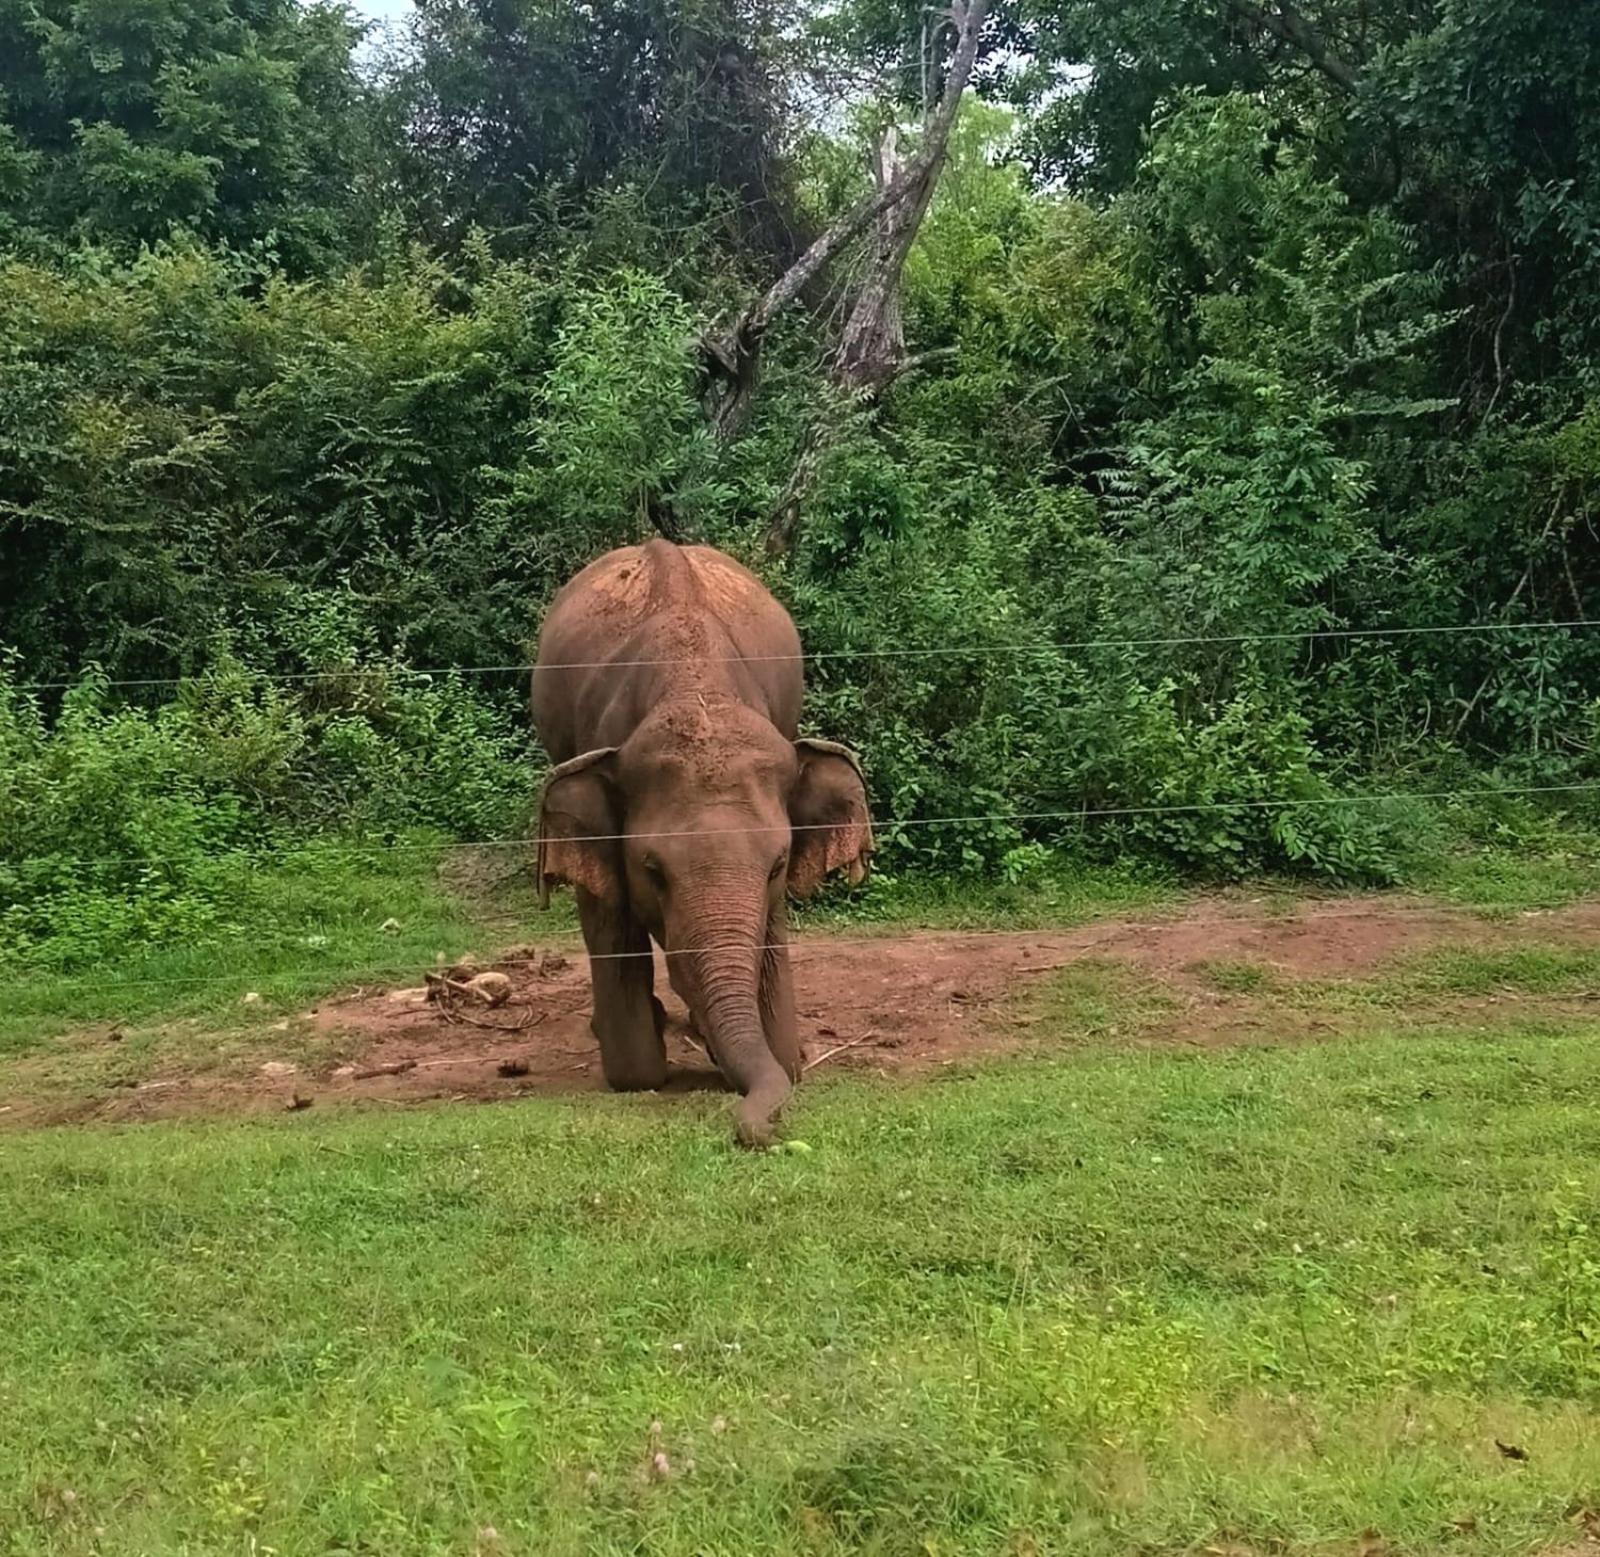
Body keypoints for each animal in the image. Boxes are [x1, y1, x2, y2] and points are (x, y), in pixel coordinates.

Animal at [531, 537, 870, 1139]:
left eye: (779, 865)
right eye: (651, 871)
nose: (760, 1132)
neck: (696, 687)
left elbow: (782, 1045)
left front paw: (777, 1052)